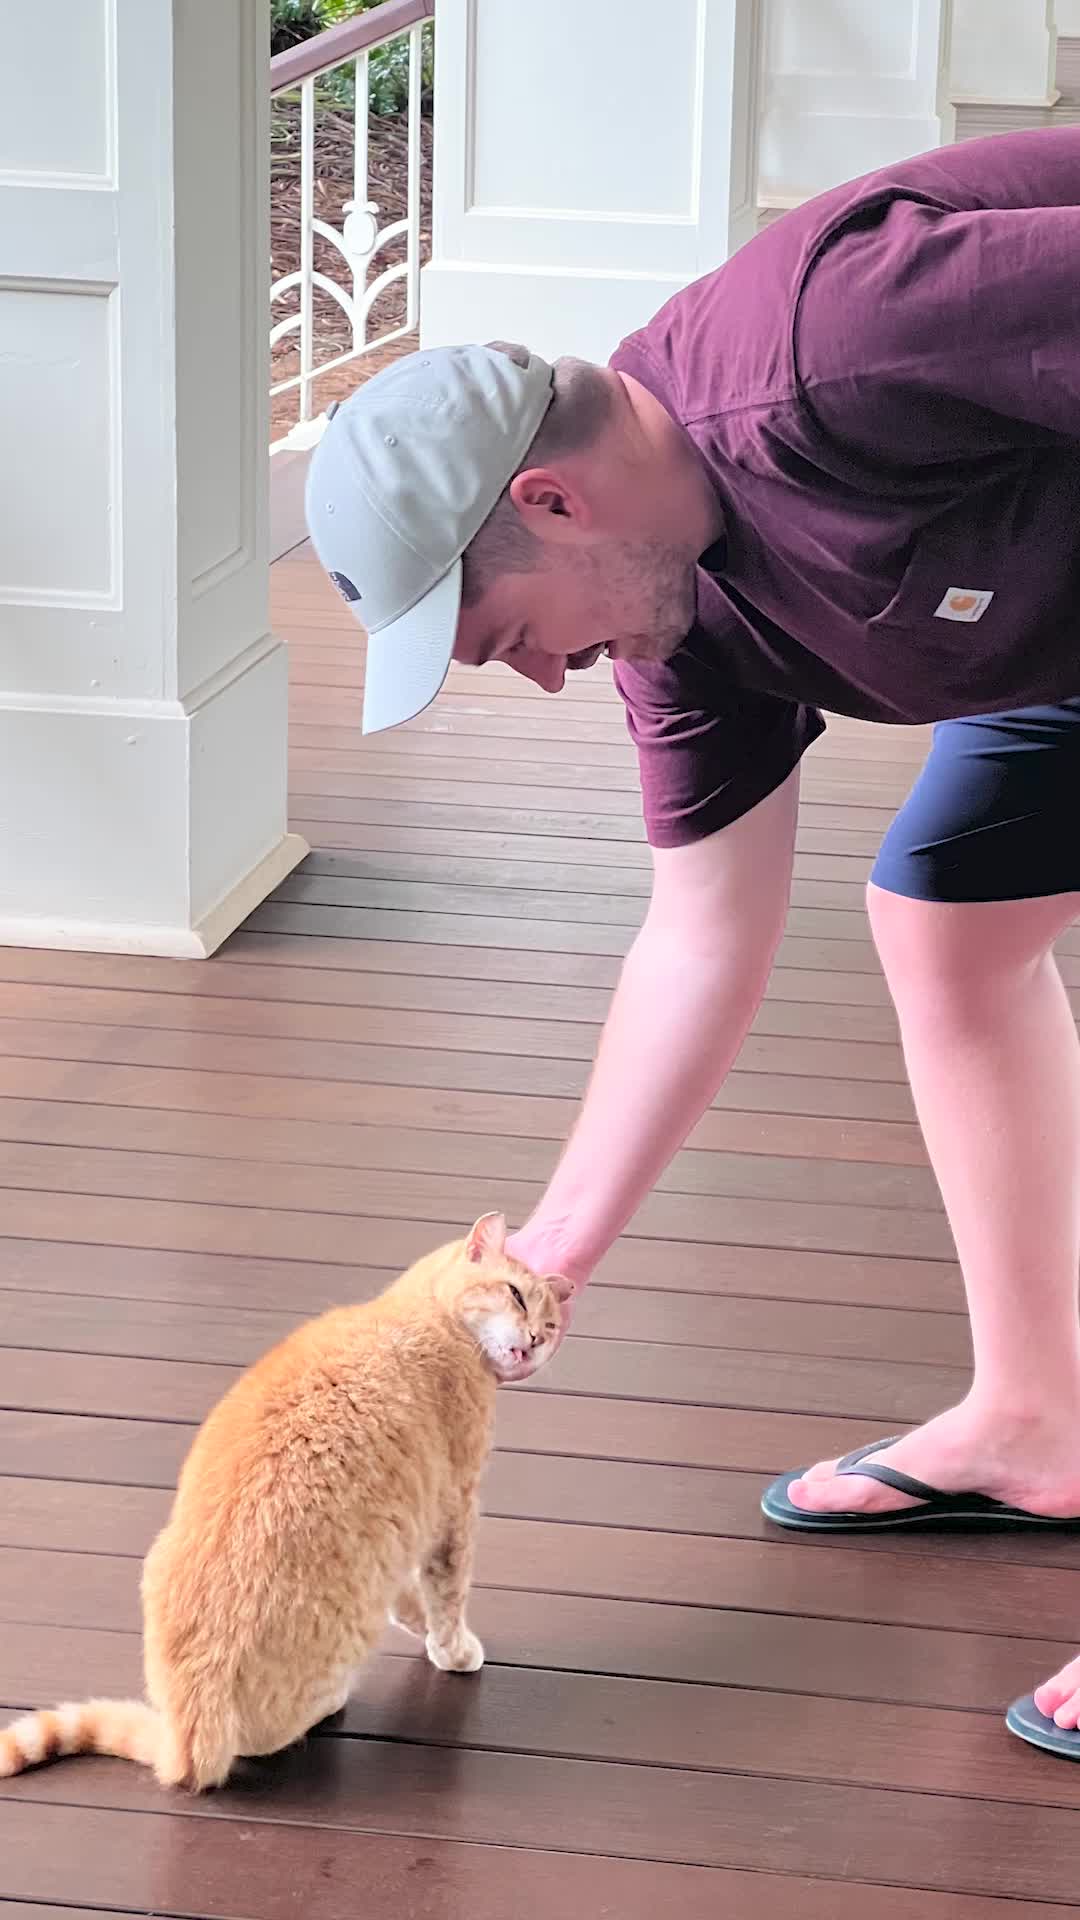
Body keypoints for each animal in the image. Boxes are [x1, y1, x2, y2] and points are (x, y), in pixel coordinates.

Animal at [0, 1212, 570, 1792]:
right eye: (516, 1296)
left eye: (550, 1329)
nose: (532, 1342)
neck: (424, 1310)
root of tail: (184, 1736)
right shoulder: (454, 1510)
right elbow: (449, 1598)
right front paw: (453, 1650)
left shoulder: (405, 1530)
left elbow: (412, 1598)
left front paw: (421, 1627)